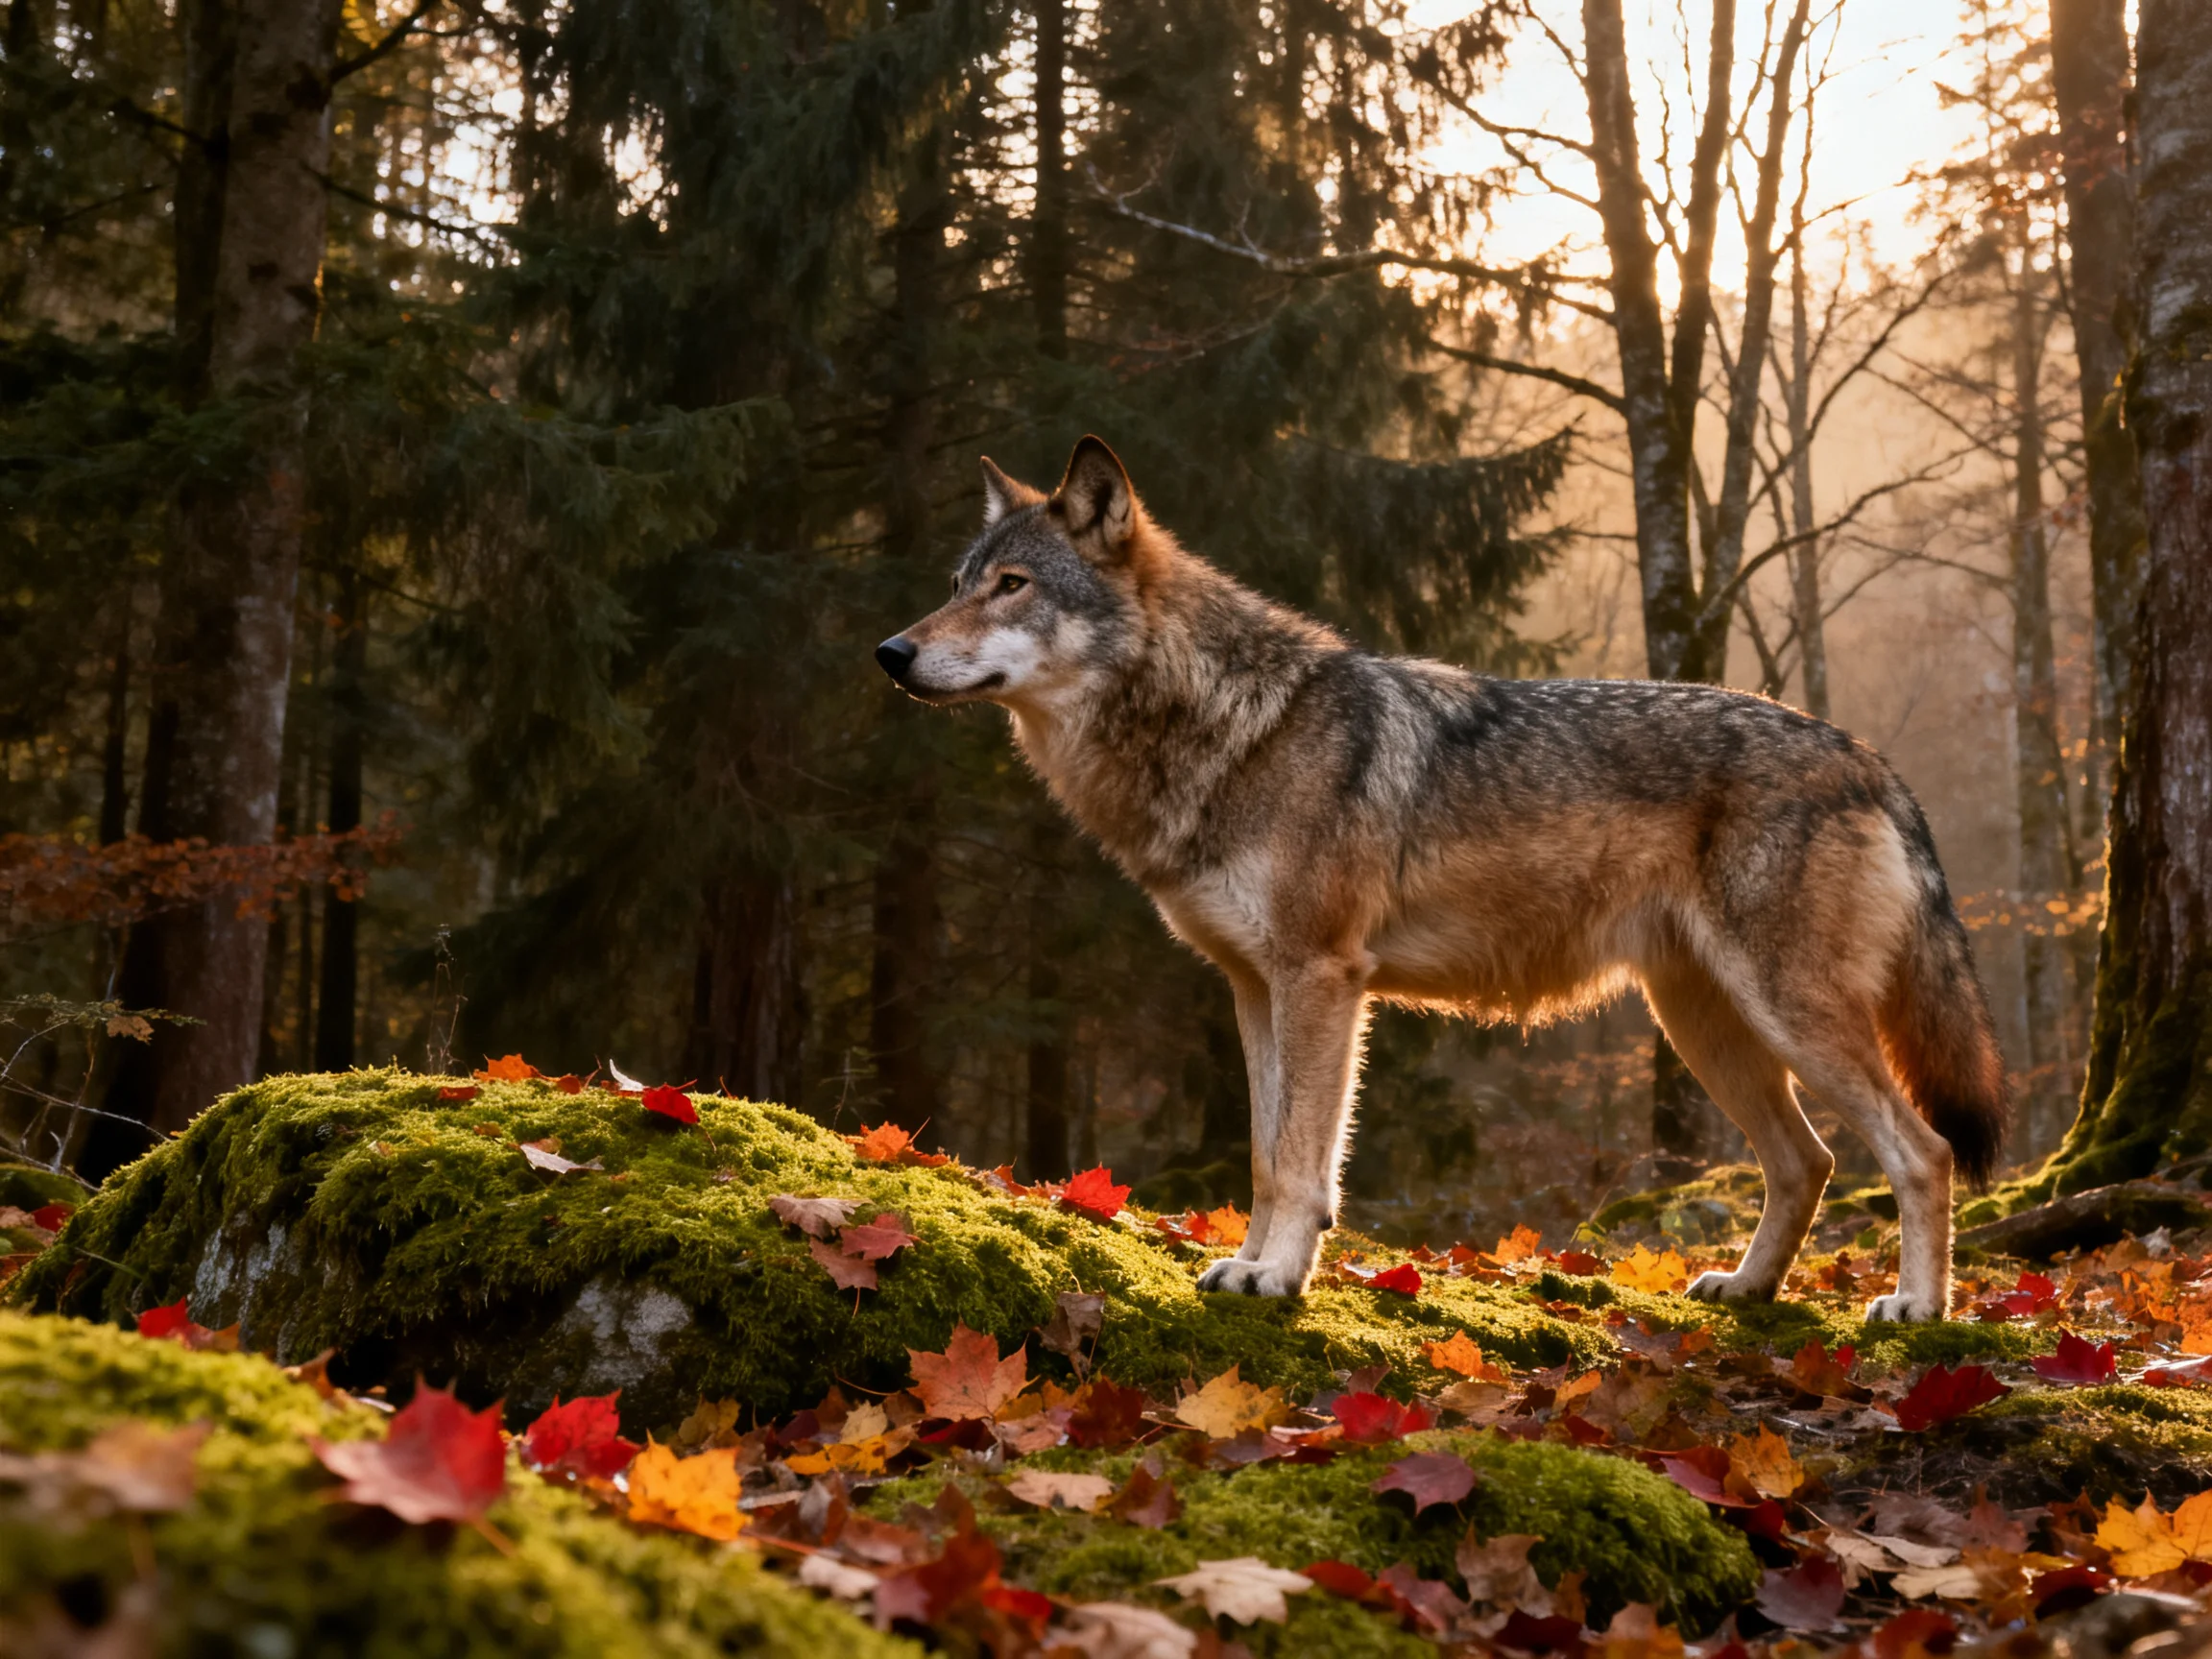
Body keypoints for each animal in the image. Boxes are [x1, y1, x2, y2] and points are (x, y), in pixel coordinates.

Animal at [875, 436, 2010, 1321]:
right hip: (1705, 1024)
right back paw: (1747, 1290)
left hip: (1784, 1017)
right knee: (1806, 1162)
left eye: (1013, 586)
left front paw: (1276, 1279)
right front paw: (1248, 1264)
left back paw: (1916, 1307)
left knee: (1920, 1151)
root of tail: (1867, 756)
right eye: (957, 581)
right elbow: (1267, 1154)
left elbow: (1302, 1159)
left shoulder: (1323, 981)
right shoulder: (1253, 989)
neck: (1230, 728)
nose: (890, 650)